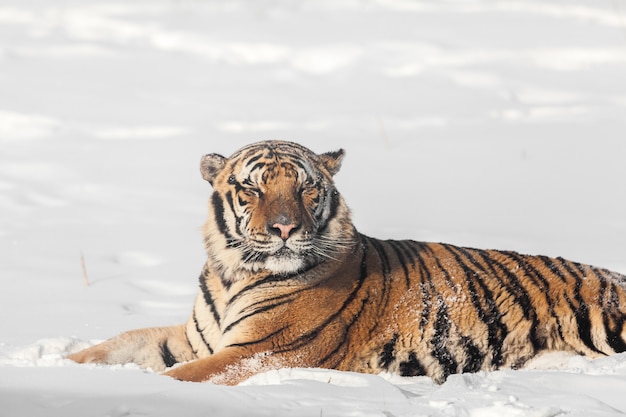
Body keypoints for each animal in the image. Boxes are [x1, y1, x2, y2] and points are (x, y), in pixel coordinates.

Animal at [67, 139, 624, 384]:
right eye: (253, 188)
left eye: (306, 188)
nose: (284, 228)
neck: (233, 272)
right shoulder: (193, 339)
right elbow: (118, 344)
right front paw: (60, 370)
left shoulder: (263, 350)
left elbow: (181, 376)